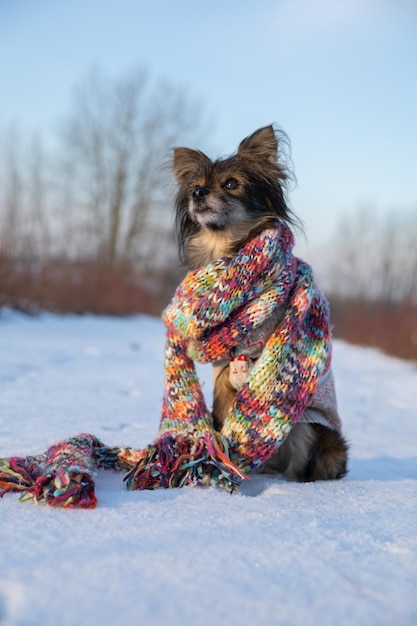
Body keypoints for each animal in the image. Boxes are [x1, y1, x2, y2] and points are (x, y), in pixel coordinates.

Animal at [171, 124, 346, 480]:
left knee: (297, 456)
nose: (199, 194)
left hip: (308, 427)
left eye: (231, 184)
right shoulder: (224, 371)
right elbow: (223, 420)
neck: (227, 249)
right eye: (195, 187)